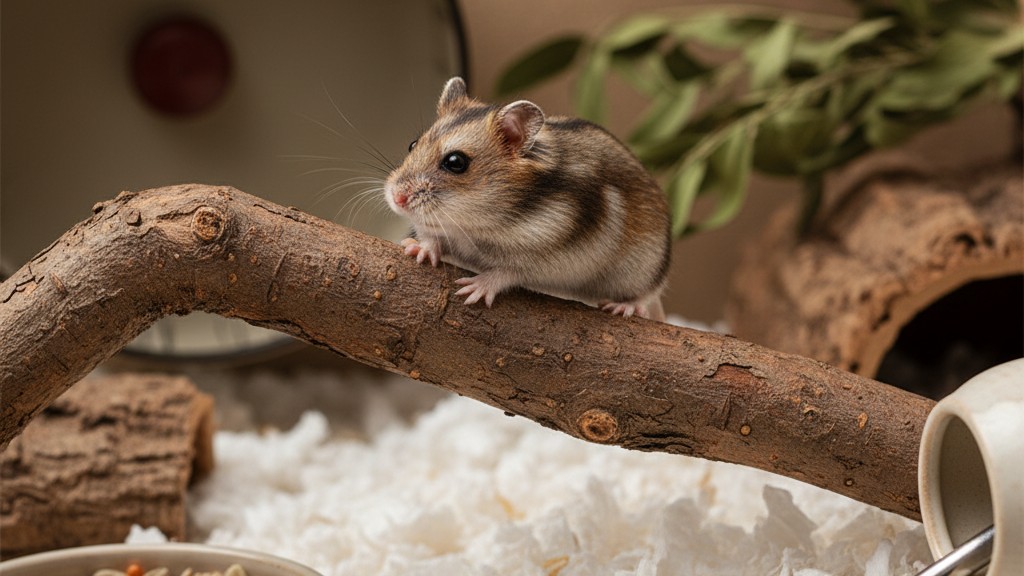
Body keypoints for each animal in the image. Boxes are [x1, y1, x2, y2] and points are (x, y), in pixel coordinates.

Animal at [384, 77, 671, 321]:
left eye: (456, 162)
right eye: (412, 145)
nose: (397, 198)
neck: (475, 225)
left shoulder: (544, 258)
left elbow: (506, 272)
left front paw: (472, 290)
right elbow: (431, 238)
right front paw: (415, 248)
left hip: (643, 268)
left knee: (648, 294)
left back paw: (624, 307)